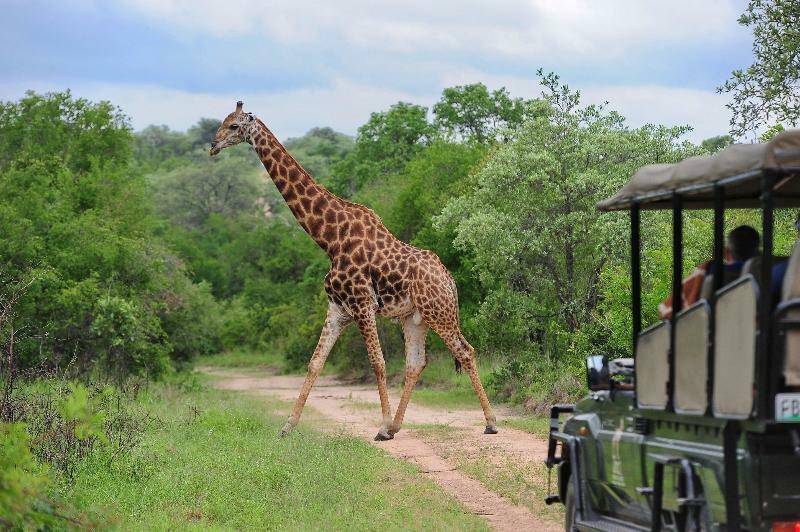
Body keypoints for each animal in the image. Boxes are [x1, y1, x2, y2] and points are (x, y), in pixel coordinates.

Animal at [208, 101, 494, 440]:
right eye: (223, 121)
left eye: (234, 125)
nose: (212, 146)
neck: (329, 239)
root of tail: (450, 280)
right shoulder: (337, 309)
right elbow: (315, 362)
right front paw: (287, 426)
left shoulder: (362, 304)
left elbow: (378, 362)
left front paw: (380, 427)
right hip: (415, 317)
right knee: (416, 362)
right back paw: (397, 425)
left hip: (440, 312)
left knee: (466, 351)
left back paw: (490, 422)